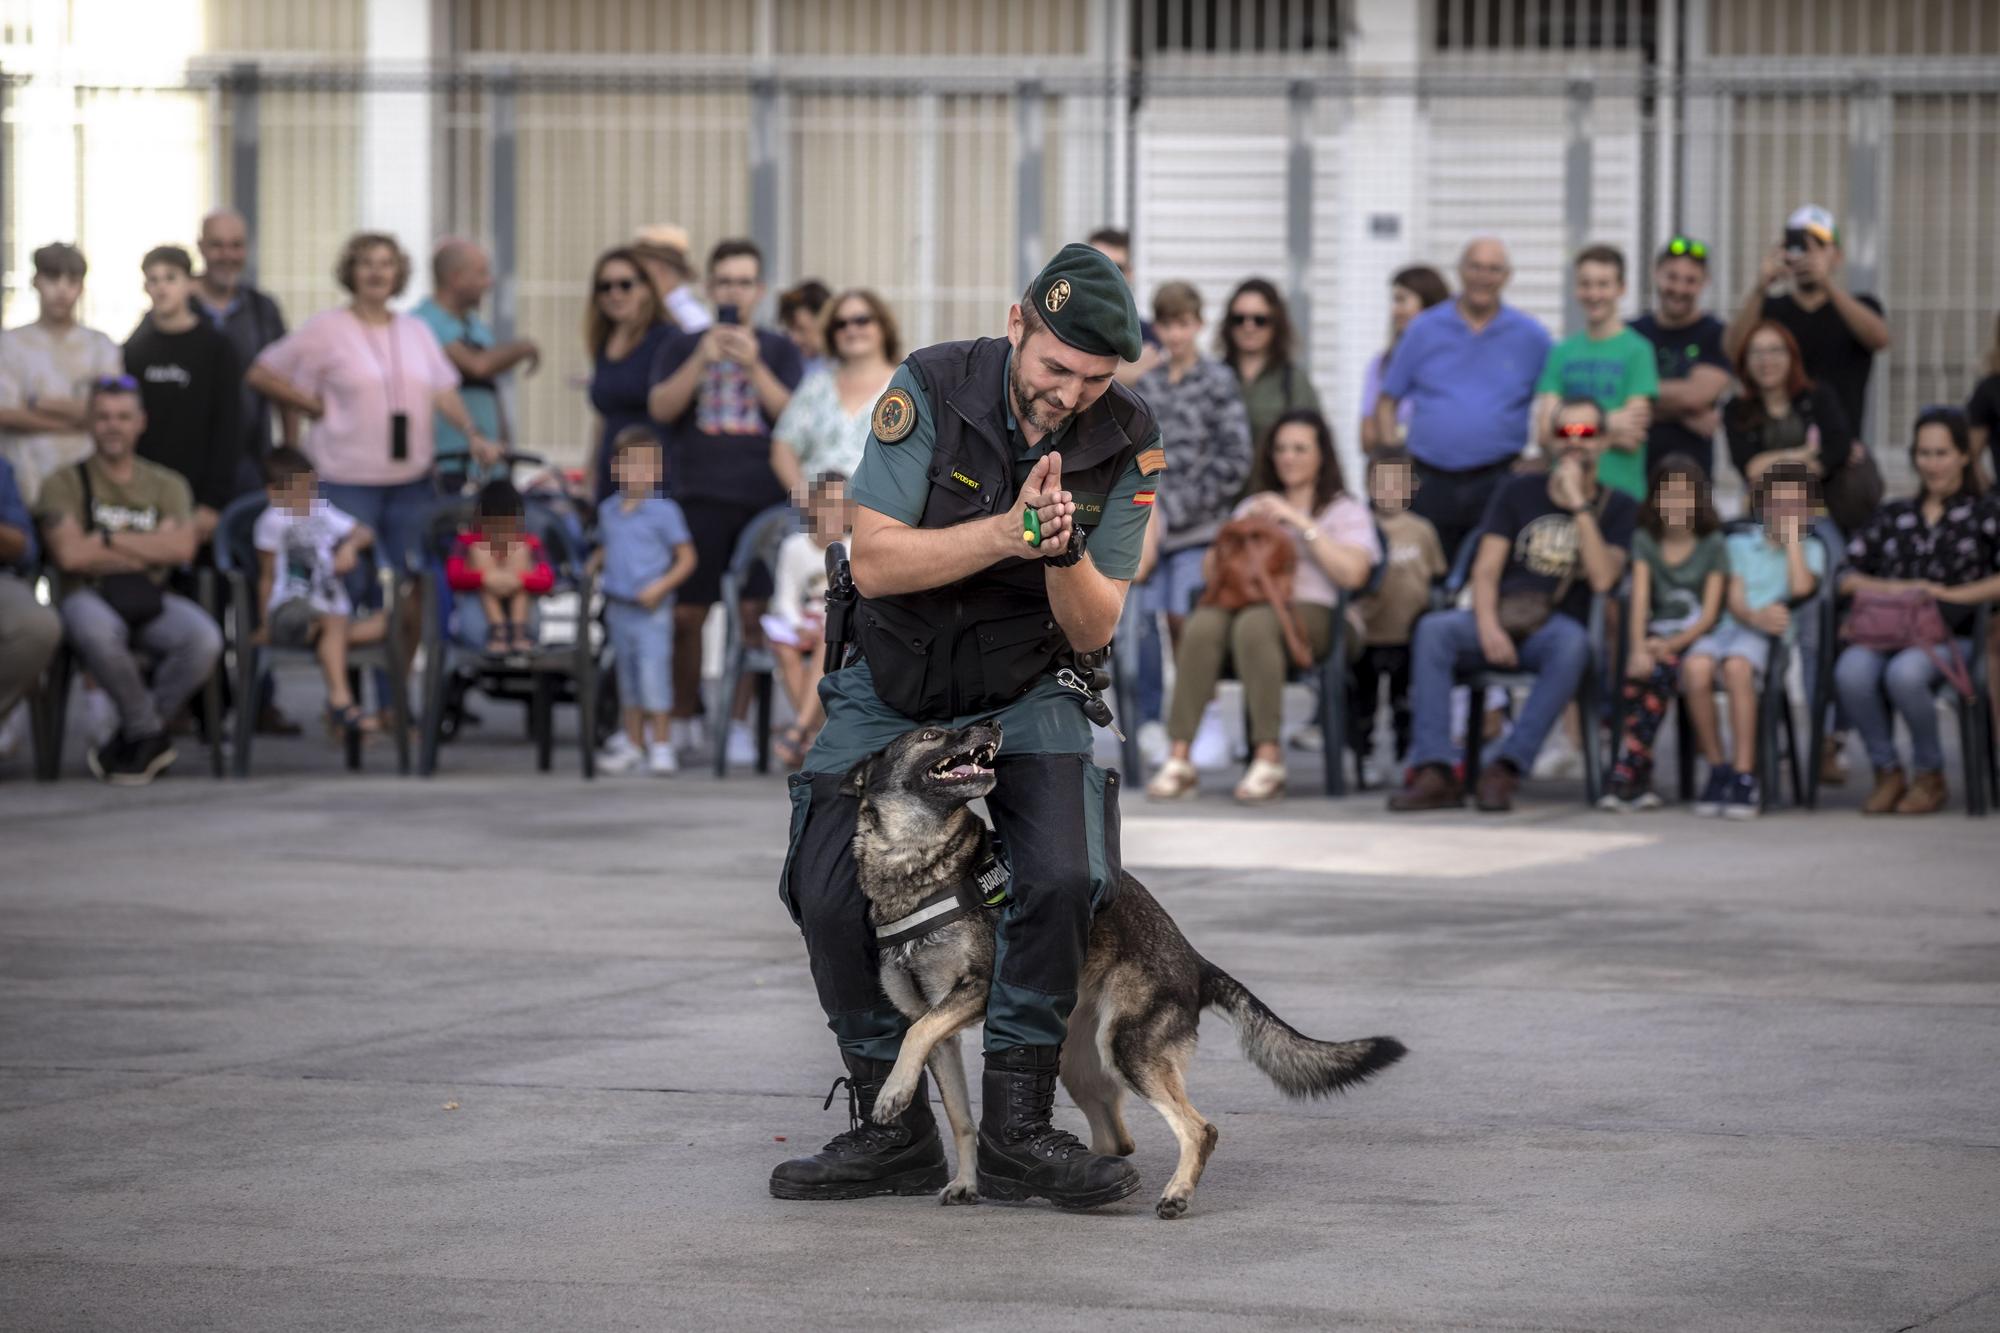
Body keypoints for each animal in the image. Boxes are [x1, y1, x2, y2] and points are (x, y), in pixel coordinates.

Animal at [848, 716, 1408, 1216]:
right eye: (929, 734)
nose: (992, 724)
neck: (917, 864)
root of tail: (1196, 961)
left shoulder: (975, 993)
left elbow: (914, 1035)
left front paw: (892, 1094)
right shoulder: (940, 1030)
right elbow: (957, 1110)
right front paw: (965, 1179)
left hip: (1126, 1048)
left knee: (1199, 1129)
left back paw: (1175, 1194)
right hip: (1080, 1063)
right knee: (1119, 1141)